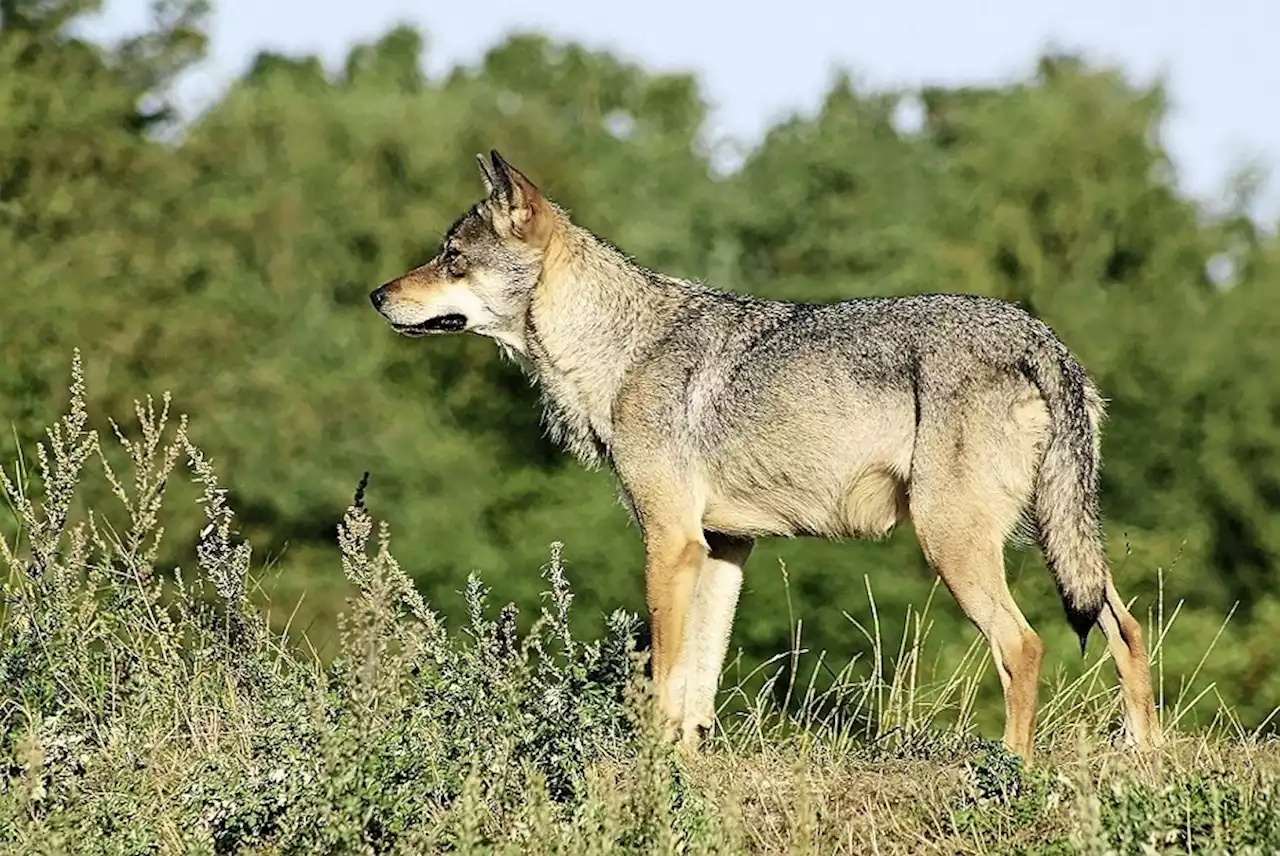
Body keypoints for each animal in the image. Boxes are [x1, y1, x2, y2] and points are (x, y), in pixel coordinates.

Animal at [368, 148, 1162, 762]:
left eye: (451, 259)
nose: (376, 295)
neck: (616, 350)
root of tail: (1042, 338)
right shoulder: (723, 549)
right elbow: (698, 682)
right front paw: (685, 765)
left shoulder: (671, 543)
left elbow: (665, 673)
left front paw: (649, 767)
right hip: (1055, 541)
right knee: (1125, 627)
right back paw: (1145, 759)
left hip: (955, 544)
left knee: (1025, 646)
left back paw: (1011, 770)